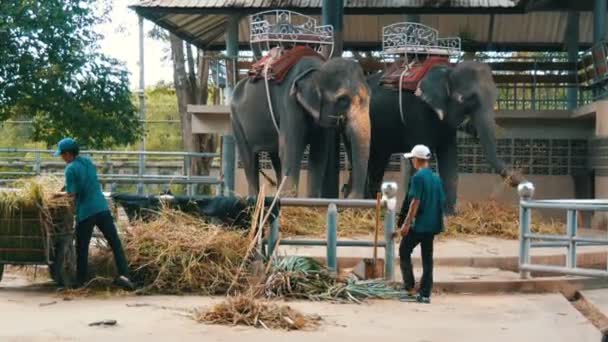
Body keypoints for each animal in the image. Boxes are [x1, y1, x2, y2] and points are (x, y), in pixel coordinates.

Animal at [230, 55, 370, 198]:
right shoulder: (289, 103)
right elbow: (292, 149)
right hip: (235, 120)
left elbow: (319, 154)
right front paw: (290, 199)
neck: (317, 69)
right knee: (249, 159)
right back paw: (254, 198)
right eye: (343, 100)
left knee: (276, 157)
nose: (349, 195)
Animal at [344, 60, 520, 212]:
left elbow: (449, 158)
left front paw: (449, 215)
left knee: (377, 161)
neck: (447, 71)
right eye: (463, 99)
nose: (517, 179)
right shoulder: (417, 113)